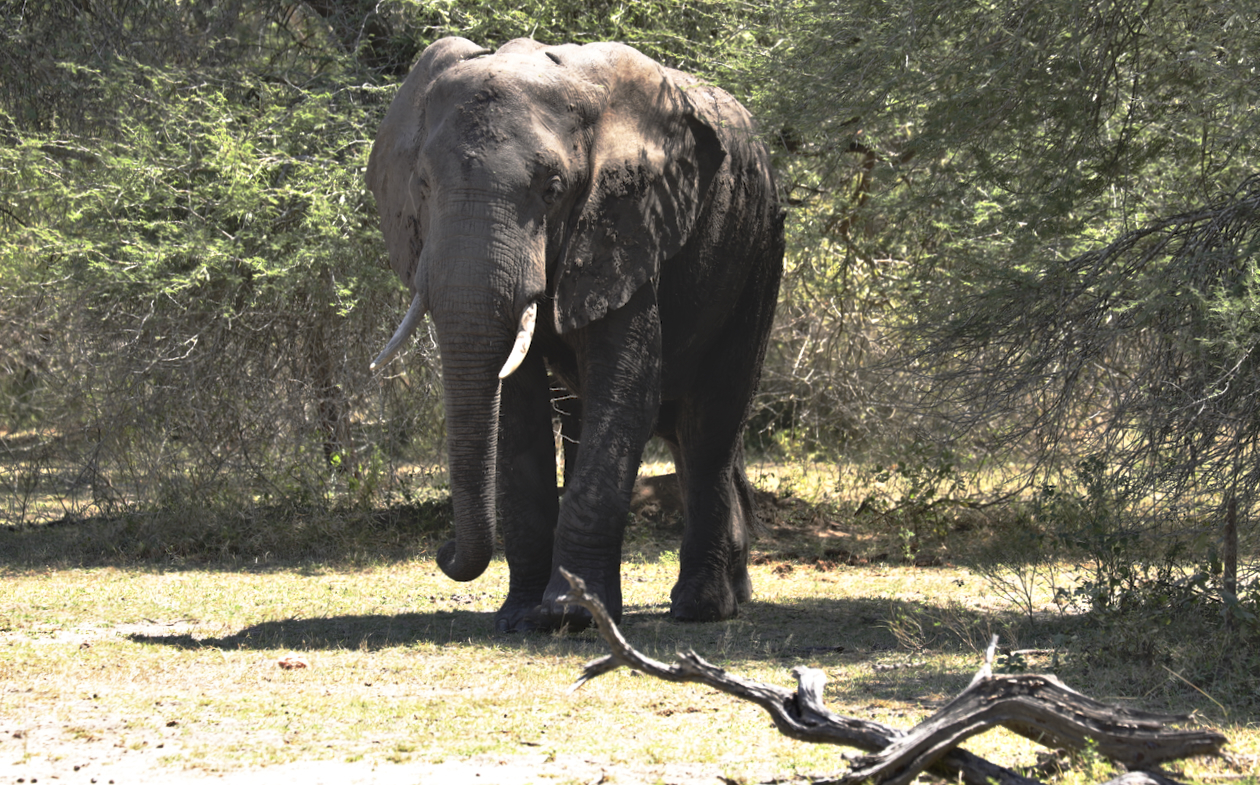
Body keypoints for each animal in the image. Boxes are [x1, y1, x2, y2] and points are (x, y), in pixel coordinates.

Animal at [365, 36, 781, 632]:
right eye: (421, 186)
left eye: (553, 189)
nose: (443, 553)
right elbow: (517, 410)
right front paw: (521, 617)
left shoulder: (627, 226)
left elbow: (626, 391)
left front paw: (568, 613)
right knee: (669, 429)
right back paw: (730, 591)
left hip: (759, 249)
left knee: (710, 423)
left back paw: (701, 608)